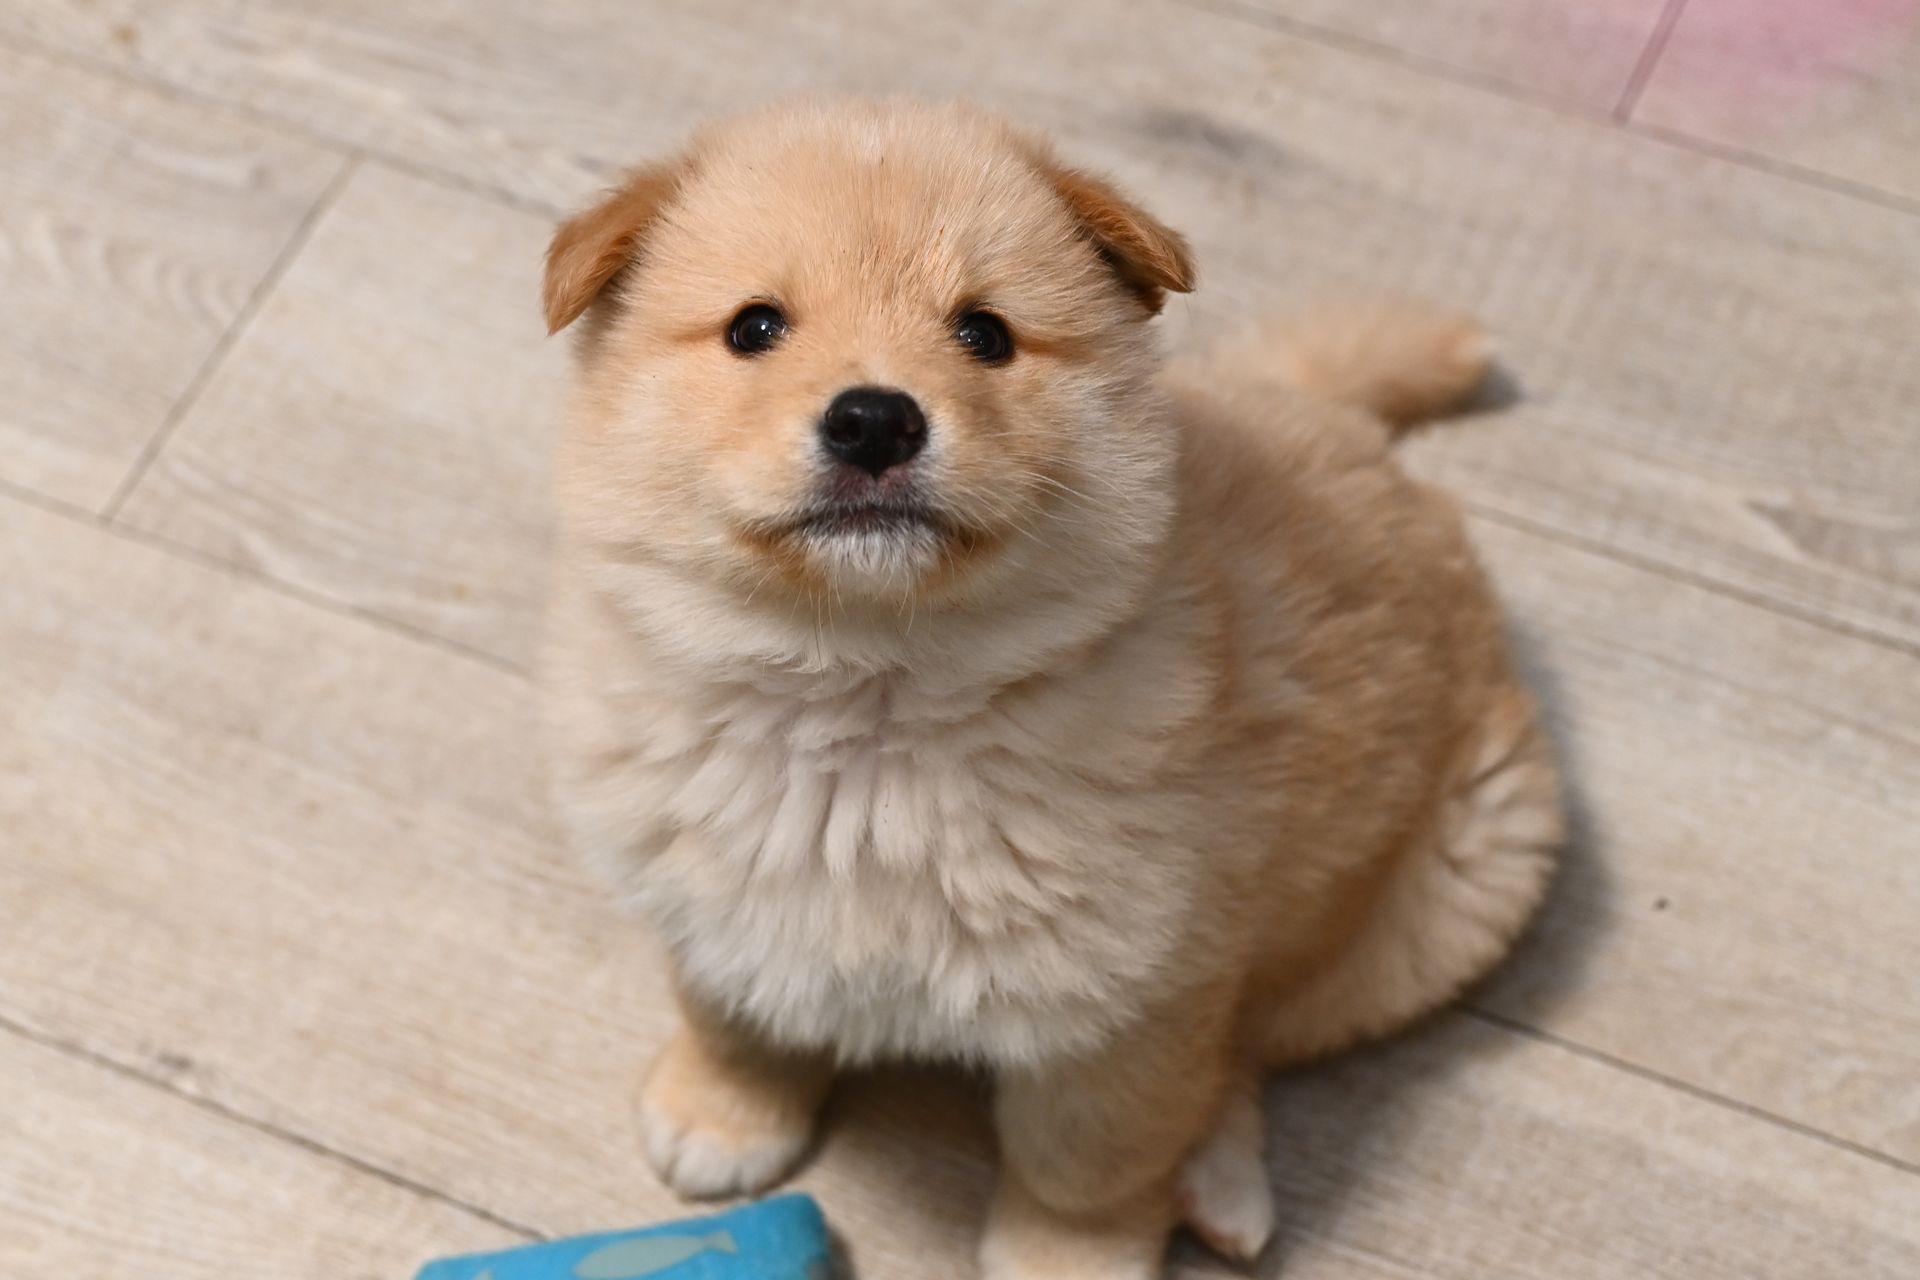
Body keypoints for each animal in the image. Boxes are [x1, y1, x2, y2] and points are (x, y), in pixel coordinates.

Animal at [541, 94, 1559, 1274]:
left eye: (985, 334)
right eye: (754, 328)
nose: (875, 418)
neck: (869, 700)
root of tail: (1343, 426)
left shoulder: (1131, 1001)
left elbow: (1091, 1165)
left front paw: (1066, 1257)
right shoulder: (717, 899)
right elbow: (735, 1023)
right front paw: (723, 1115)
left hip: (1449, 887)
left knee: (1250, 1042)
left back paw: (1221, 1179)